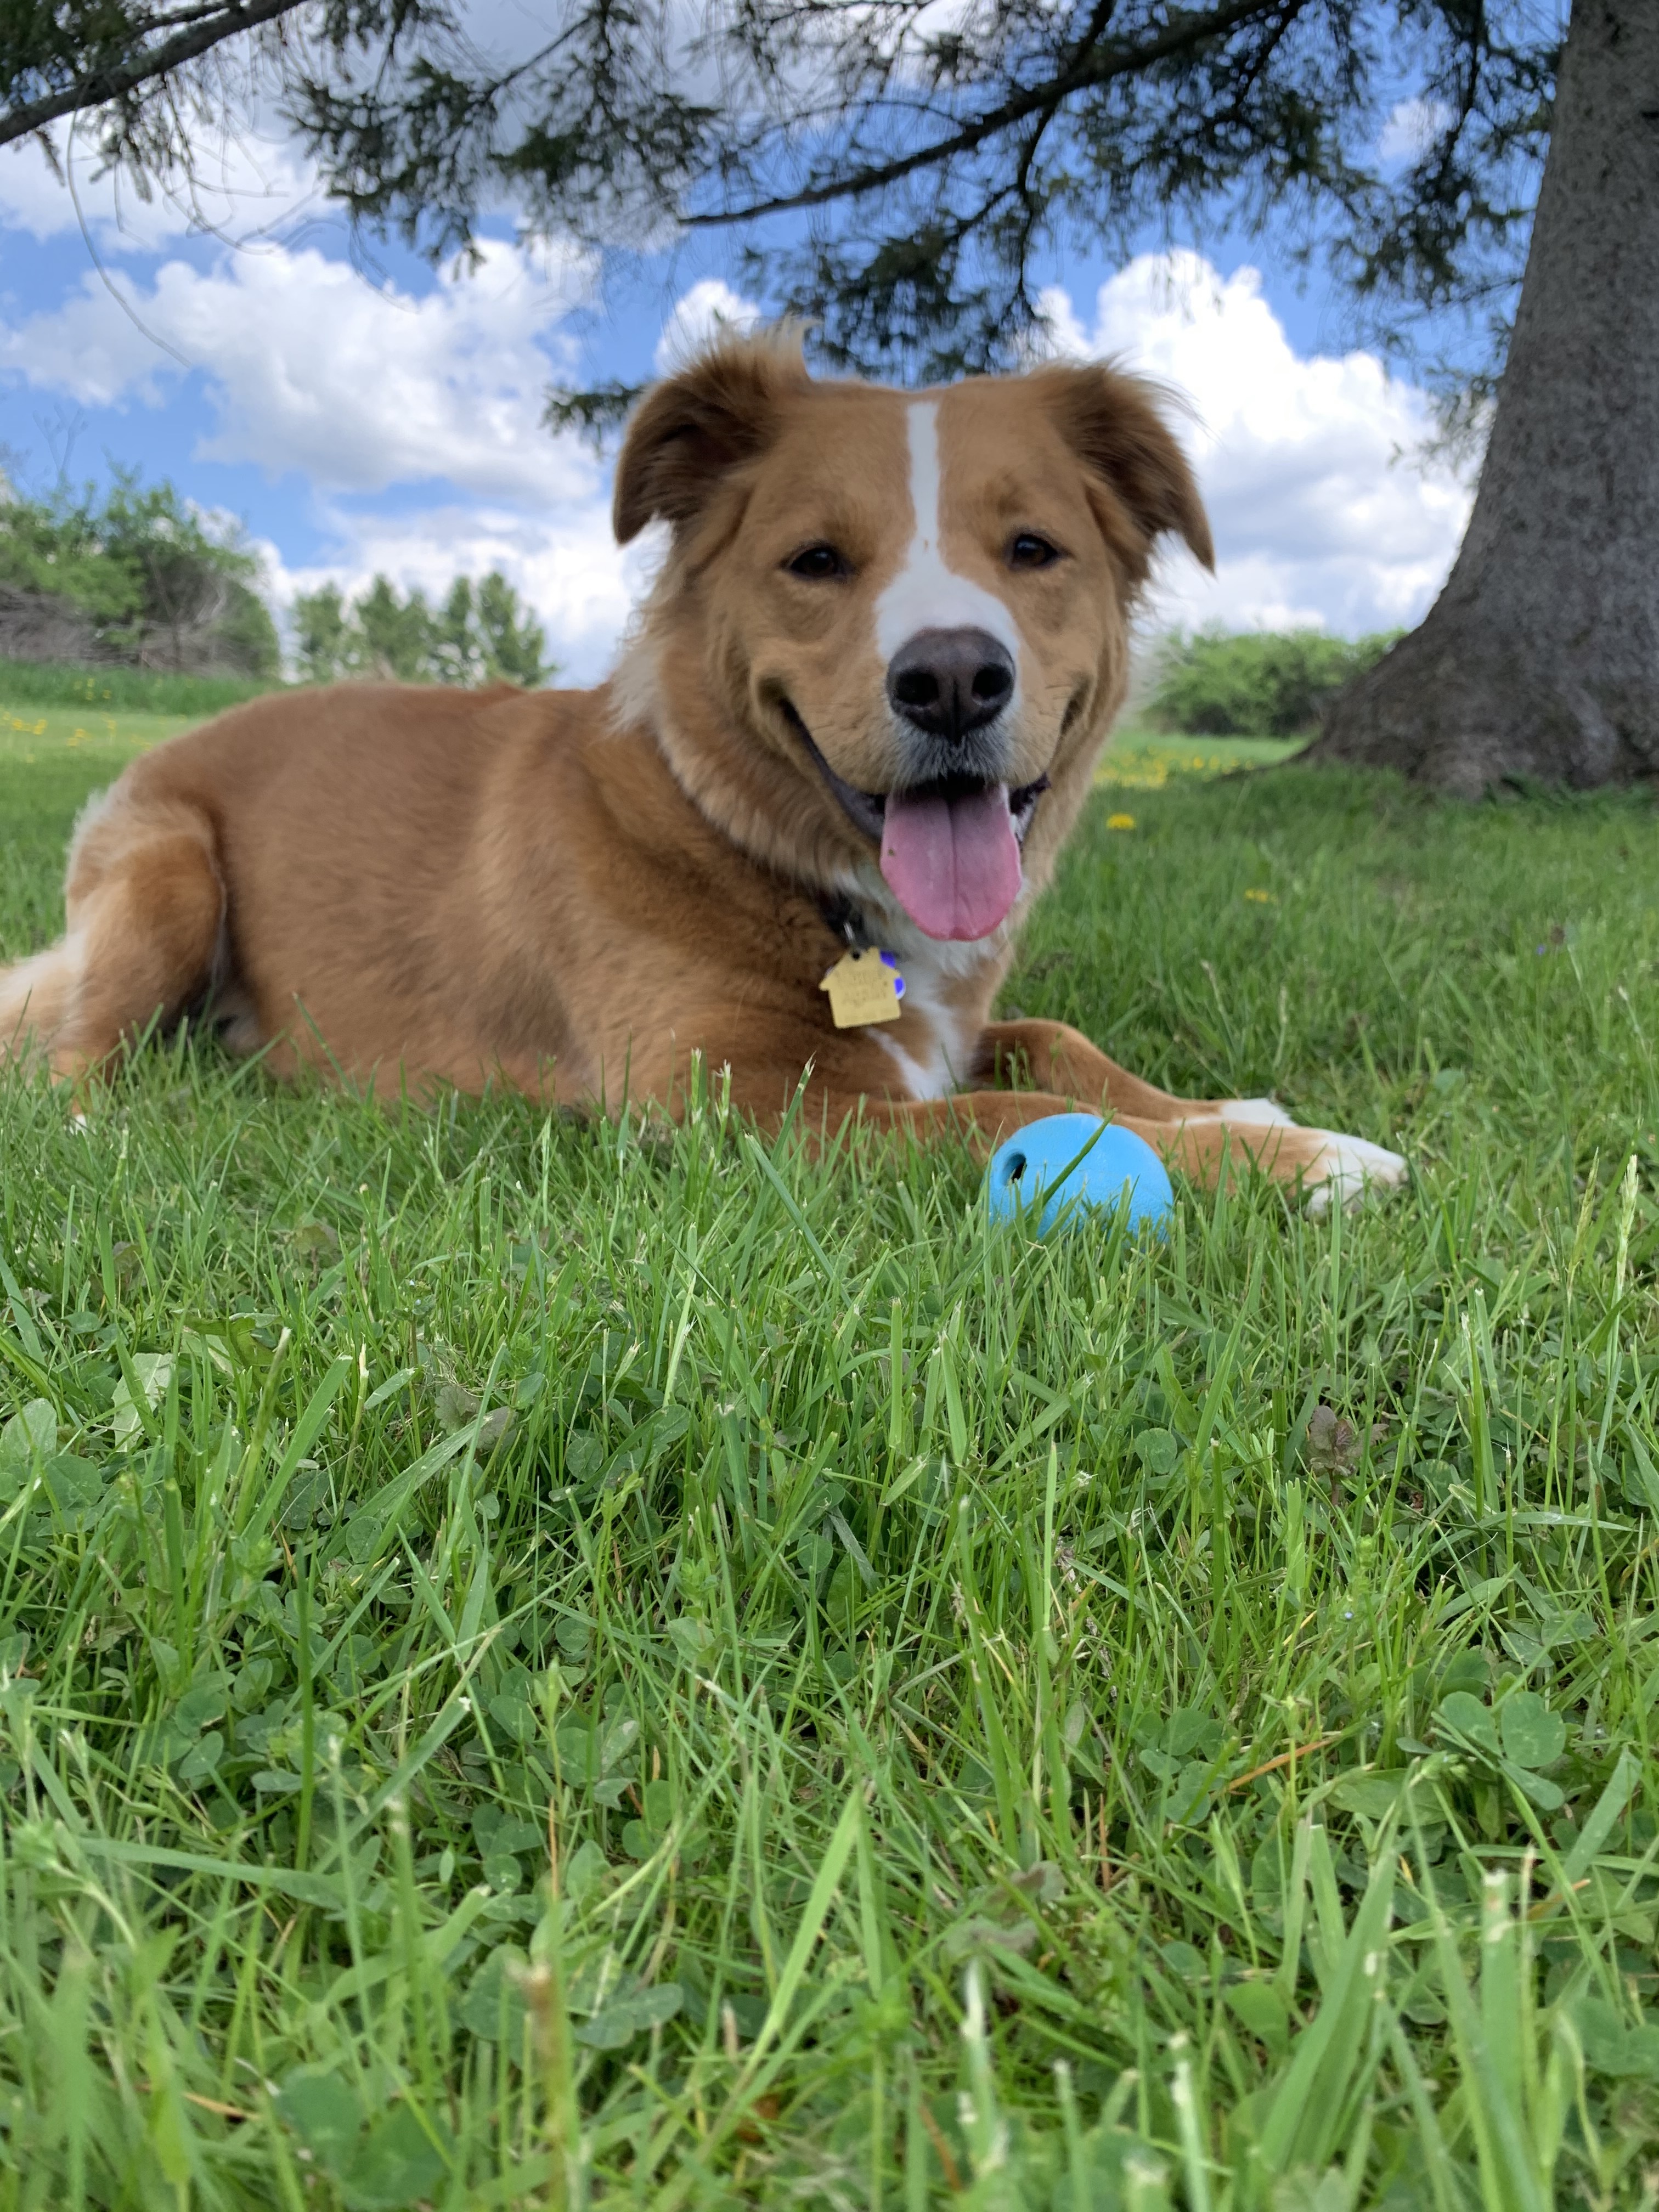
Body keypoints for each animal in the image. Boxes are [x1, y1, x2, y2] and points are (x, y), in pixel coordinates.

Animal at [0, 323, 1407, 1212]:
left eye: (1033, 548)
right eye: (817, 561)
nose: (954, 679)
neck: (769, 857)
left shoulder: (949, 1035)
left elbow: (1058, 1048)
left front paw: (1242, 1114)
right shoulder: (745, 1111)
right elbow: (1017, 1122)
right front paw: (1312, 1165)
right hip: (168, 874)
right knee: (71, 1060)